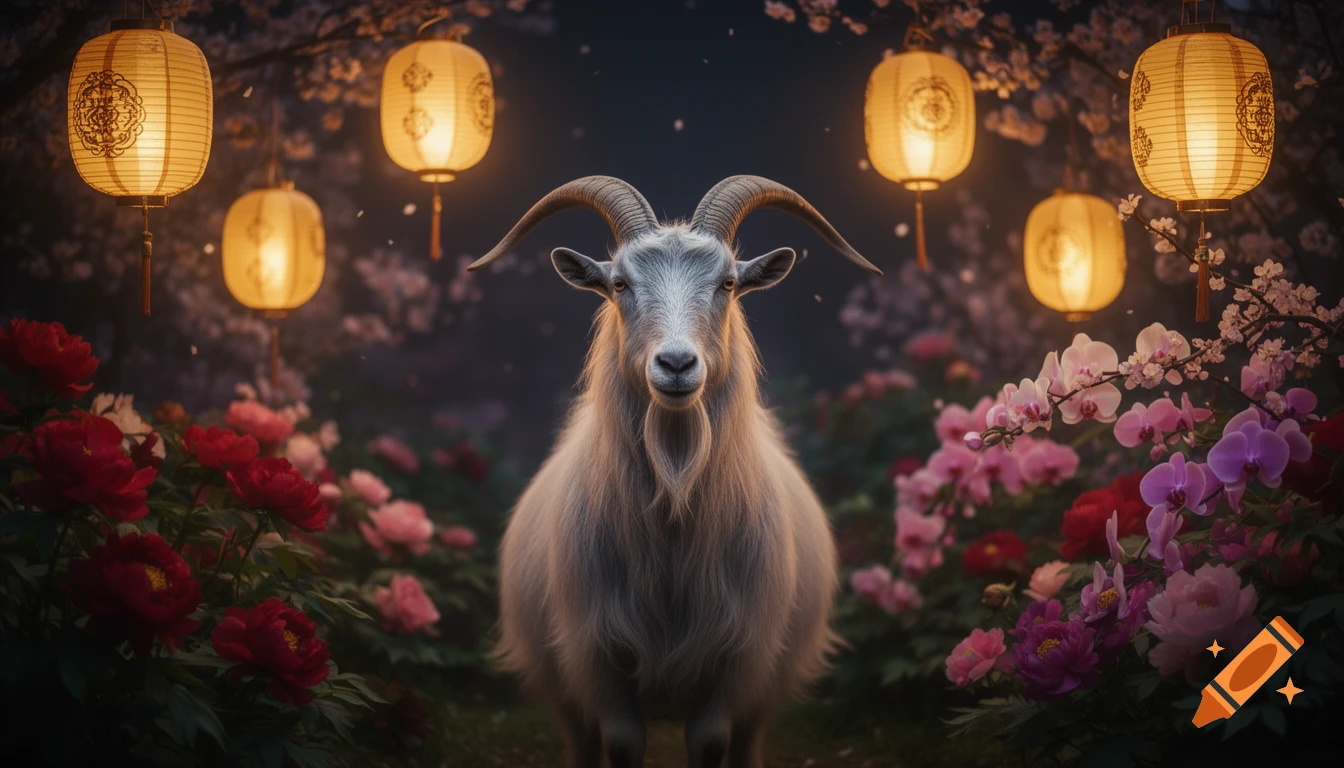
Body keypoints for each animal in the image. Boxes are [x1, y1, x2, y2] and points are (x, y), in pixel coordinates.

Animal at [468, 176, 881, 768]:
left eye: (728, 283)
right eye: (618, 283)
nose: (677, 364)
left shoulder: (736, 662)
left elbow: (710, 740)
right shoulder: (598, 660)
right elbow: (621, 741)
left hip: (765, 687)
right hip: (561, 685)